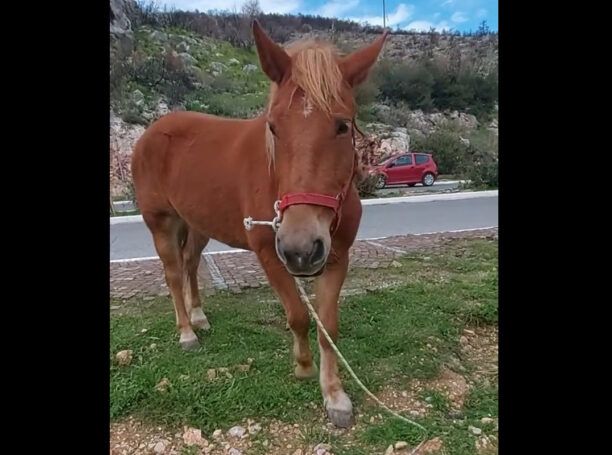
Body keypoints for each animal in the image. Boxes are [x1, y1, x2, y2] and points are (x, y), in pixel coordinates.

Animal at [131, 21, 388, 428]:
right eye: (274, 127)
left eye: (343, 126)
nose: (301, 247)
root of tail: (153, 132)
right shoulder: (269, 254)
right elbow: (297, 316)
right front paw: (302, 367)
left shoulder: (337, 258)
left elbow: (328, 327)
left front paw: (334, 395)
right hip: (161, 223)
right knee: (172, 273)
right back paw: (186, 332)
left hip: (198, 224)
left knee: (190, 264)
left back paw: (199, 316)